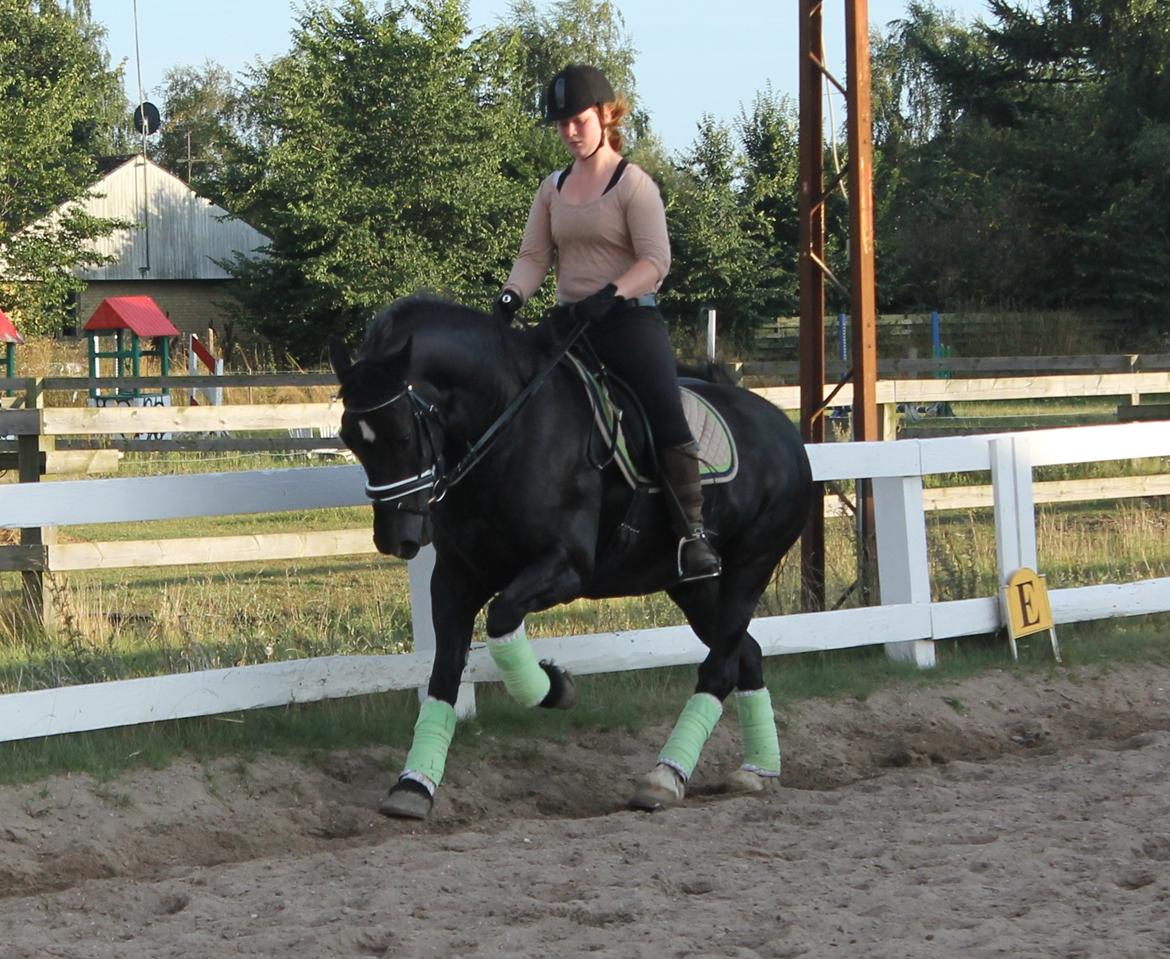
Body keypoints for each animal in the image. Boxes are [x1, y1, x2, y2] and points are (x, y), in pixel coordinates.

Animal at [325, 295, 809, 818]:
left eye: (401, 435)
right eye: (350, 437)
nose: (396, 539)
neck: (508, 428)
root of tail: (781, 425)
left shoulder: (567, 567)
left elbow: (502, 617)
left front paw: (555, 687)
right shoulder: (456, 577)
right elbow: (446, 671)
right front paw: (414, 786)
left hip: (750, 566)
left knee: (720, 666)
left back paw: (664, 777)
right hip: (692, 585)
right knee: (747, 654)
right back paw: (758, 770)